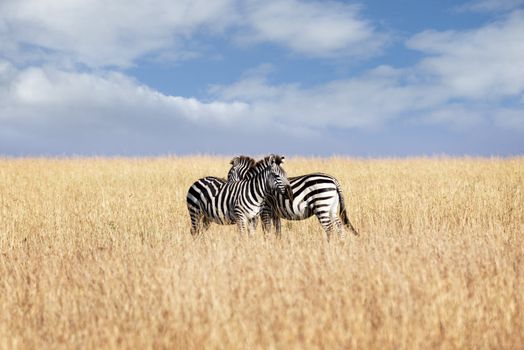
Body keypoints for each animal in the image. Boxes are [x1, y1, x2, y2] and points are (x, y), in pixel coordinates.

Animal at [227, 158, 358, 241]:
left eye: (229, 175)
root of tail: (333, 180)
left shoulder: (265, 211)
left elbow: (267, 230)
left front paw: (267, 244)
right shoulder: (275, 214)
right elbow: (278, 231)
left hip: (321, 206)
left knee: (329, 228)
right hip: (332, 208)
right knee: (340, 227)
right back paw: (341, 245)